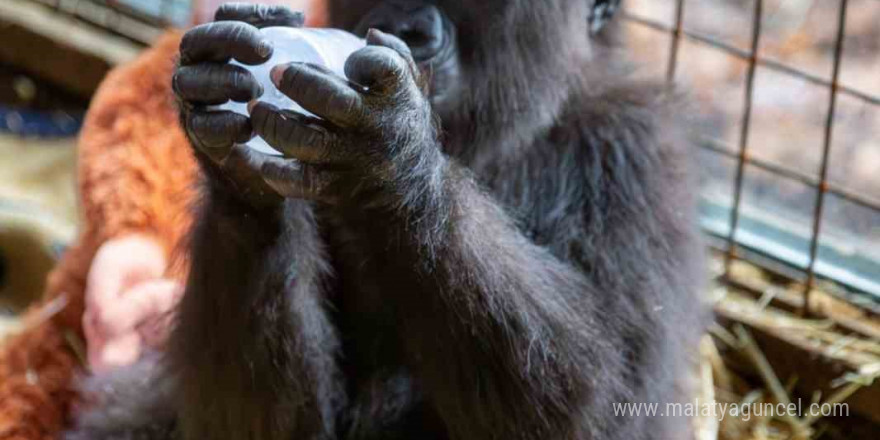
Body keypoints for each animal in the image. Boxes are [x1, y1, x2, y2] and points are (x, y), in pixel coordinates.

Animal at [67, 0, 708, 440]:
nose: (408, 26)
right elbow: (254, 419)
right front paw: (233, 177)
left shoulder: (636, 157)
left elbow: (605, 408)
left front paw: (392, 156)